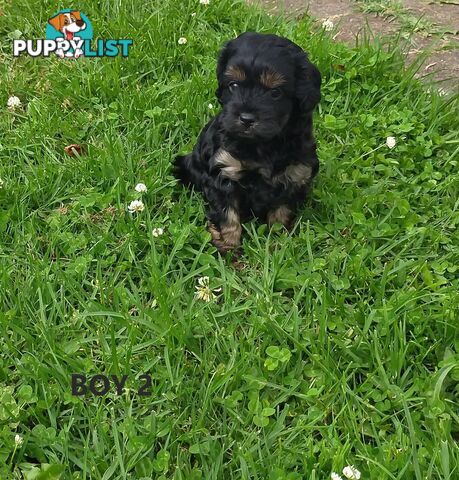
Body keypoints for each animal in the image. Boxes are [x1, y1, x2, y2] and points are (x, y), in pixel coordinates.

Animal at [174, 31, 322, 253]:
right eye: (234, 85)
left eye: (275, 93)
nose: (246, 118)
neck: (263, 145)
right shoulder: (223, 171)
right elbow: (227, 213)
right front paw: (228, 245)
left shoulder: (295, 175)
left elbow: (282, 212)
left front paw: (277, 242)